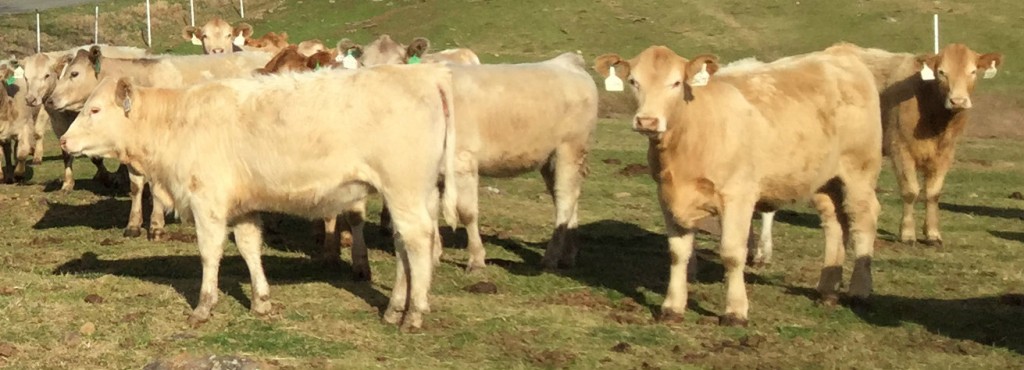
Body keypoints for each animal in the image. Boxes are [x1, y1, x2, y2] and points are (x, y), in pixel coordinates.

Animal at [46, 46, 272, 238]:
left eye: (74, 73)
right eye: (61, 74)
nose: (49, 100)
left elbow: (155, 189)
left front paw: (156, 225)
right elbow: (136, 186)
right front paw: (133, 225)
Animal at [57, 63, 456, 327]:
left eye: (95, 109)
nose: (63, 140)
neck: (177, 121)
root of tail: (424, 77)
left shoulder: (208, 202)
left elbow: (210, 252)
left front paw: (204, 305)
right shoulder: (242, 207)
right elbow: (250, 247)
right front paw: (261, 300)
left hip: (403, 189)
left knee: (417, 241)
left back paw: (413, 314)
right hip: (415, 194)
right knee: (407, 245)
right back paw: (395, 308)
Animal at [598, 45, 884, 323]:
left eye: (677, 82)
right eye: (634, 81)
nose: (647, 121)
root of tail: (840, 53)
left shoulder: (738, 195)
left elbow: (732, 253)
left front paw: (735, 312)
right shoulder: (667, 196)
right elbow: (678, 253)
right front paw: (672, 307)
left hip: (859, 171)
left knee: (864, 220)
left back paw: (859, 290)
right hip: (825, 181)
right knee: (834, 224)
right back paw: (827, 291)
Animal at [827, 41, 1003, 245]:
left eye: (973, 71)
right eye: (941, 72)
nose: (957, 101)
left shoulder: (946, 153)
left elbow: (933, 193)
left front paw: (933, 234)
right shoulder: (900, 148)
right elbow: (910, 191)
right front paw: (907, 234)